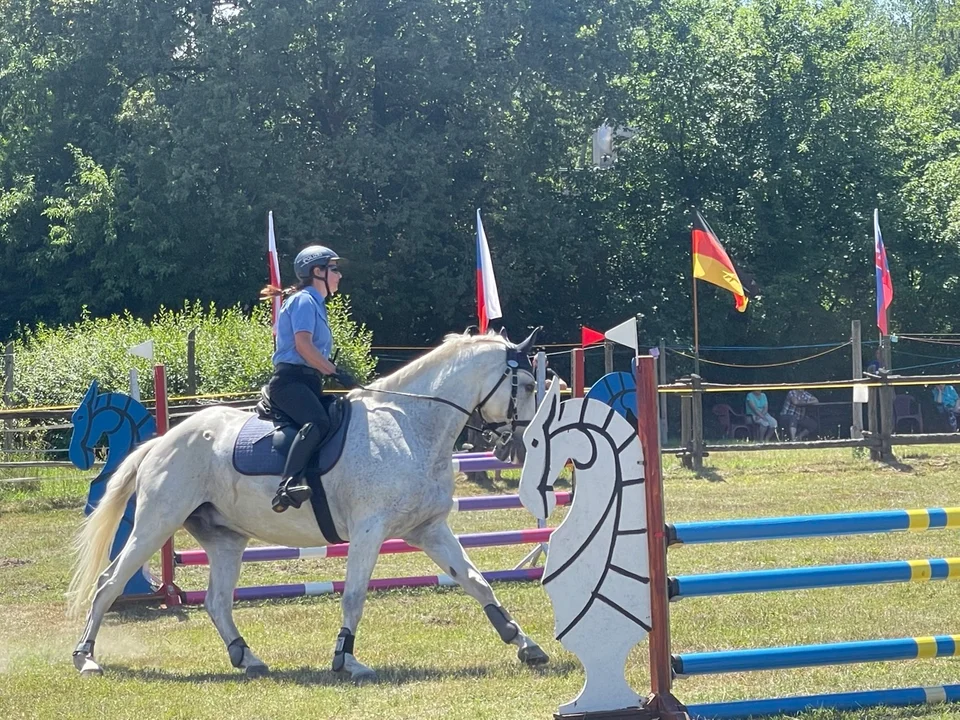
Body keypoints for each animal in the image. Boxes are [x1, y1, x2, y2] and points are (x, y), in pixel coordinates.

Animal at [67, 332, 548, 680]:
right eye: (525, 385)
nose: (519, 446)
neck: (410, 426)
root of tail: (162, 442)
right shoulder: (370, 531)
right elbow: (354, 596)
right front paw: (346, 659)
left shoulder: (429, 529)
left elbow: (477, 582)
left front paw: (524, 644)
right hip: (157, 523)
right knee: (109, 583)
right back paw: (86, 657)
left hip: (225, 538)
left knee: (217, 601)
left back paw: (246, 657)